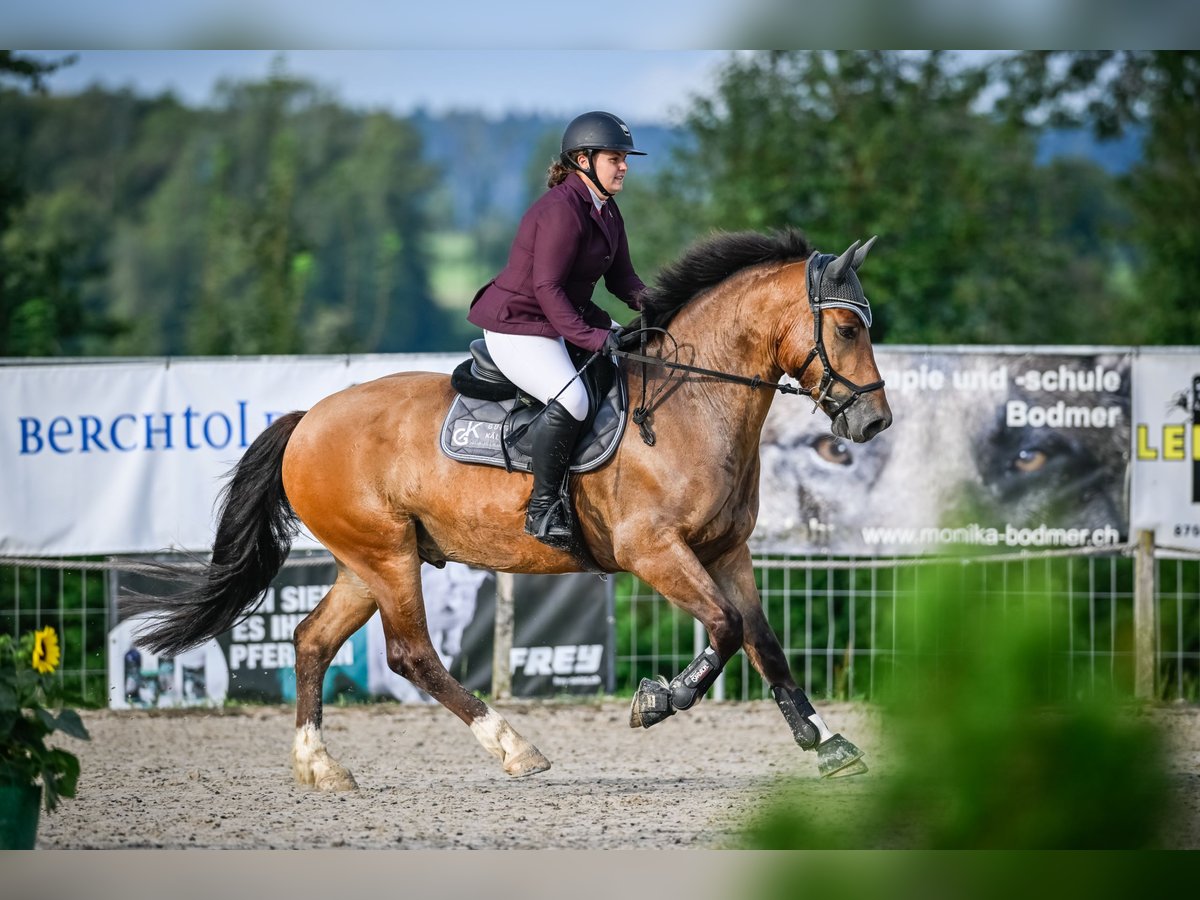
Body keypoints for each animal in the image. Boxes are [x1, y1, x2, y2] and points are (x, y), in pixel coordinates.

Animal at [129, 229, 892, 792]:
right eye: (846, 331)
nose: (874, 423)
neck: (695, 404)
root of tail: (307, 419)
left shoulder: (726, 551)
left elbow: (765, 643)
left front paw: (826, 742)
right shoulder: (653, 550)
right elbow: (727, 630)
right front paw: (655, 702)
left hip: (364, 561)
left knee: (313, 639)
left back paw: (320, 766)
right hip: (387, 555)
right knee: (410, 654)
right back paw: (514, 747)